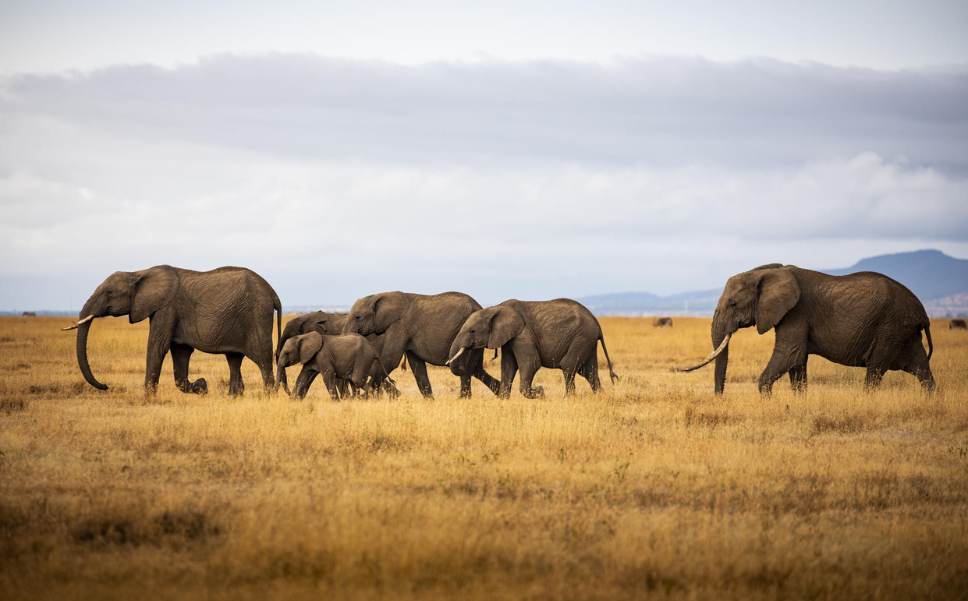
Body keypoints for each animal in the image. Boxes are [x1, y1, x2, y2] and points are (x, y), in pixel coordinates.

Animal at [63, 265, 281, 395]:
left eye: (109, 292)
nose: (106, 386)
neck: (138, 272)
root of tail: (273, 293)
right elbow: (181, 353)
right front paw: (202, 386)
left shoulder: (166, 308)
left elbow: (157, 347)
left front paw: (148, 399)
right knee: (234, 359)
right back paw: (233, 396)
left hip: (257, 316)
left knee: (263, 359)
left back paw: (268, 396)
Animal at [343, 291, 500, 399]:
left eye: (357, 317)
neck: (381, 295)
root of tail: (480, 306)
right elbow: (417, 367)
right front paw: (430, 401)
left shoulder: (400, 325)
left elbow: (390, 360)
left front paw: (364, 397)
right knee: (476, 369)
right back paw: (501, 393)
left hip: (472, 333)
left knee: (468, 368)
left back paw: (464, 399)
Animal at [446, 298, 619, 398]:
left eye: (472, 331)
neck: (495, 308)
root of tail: (597, 324)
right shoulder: (509, 338)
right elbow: (508, 366)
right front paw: (503, 399)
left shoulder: (523, 334)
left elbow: (531, 363)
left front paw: (540, 392)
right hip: (587, 341)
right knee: (589, 371)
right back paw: (600, 397)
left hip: (582, 337)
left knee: (569, 366)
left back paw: (568, 399)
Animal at [678, 264, 934, 395]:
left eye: (733, 304)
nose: (719, 397)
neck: (766, 272)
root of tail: (923, 313)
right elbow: (797, 363)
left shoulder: (796, 312)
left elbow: (788, 354)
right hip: (904, 332)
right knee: (921, 367)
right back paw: (930, 399)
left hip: (890, 328)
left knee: (875, 370)